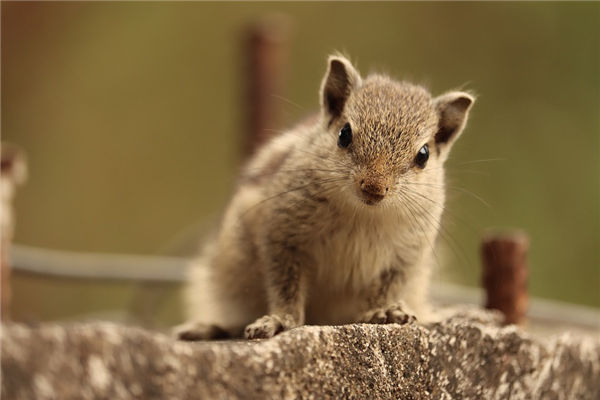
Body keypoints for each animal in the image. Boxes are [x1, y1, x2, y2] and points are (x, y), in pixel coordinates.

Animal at [176, 54, 476, 340]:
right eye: (344, 134)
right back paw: (207, 328)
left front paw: (383, 311)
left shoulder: (407, 255)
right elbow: (285, 286)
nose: (374, 188)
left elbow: (388, 287)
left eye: (423, 155)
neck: (362, 214)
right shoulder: (282, 235)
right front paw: (280, 320)